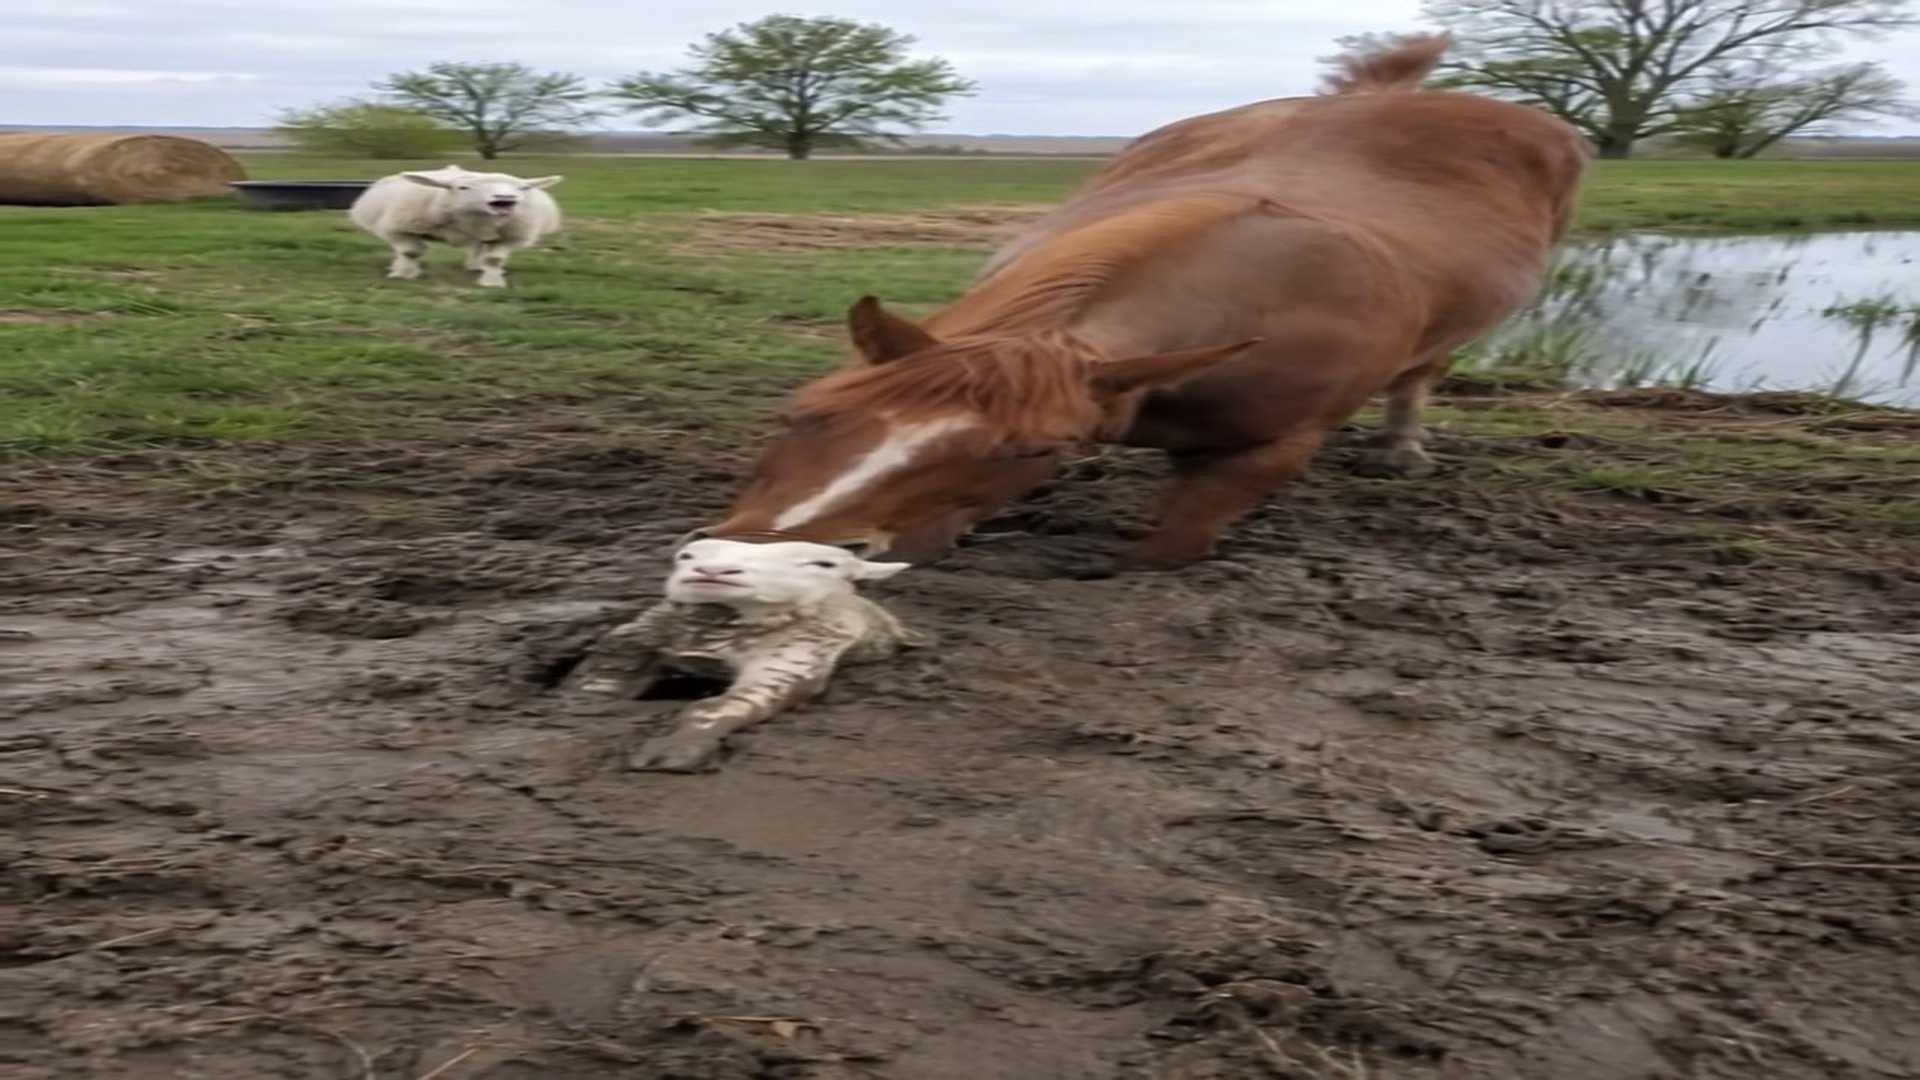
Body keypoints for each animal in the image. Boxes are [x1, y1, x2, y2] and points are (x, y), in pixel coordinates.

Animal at [347, 163, 562, 288]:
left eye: (522, 188)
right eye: (463, 187)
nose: (506, 197)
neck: (475, 218)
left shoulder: (510, 237)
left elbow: (494, 259)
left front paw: (492, 282)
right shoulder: (399, 228)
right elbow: (410, 252)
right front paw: (405, 274)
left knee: (478, 248)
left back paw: (476, 266)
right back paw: (396, 267)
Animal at [563, 538, 930, 772]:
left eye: (824, 564)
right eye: (686, 556)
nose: (712, 572)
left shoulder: (793, 660)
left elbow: (721, 706)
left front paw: (673, 751)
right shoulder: (636, 639)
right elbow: (598, 681)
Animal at [696, 34, 1591, 573]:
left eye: (1028, 451)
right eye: (799, 412)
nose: (761, 558)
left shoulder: (1270, 447)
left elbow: (1165, 548)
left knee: (1420, 374)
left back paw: (1400, 447)